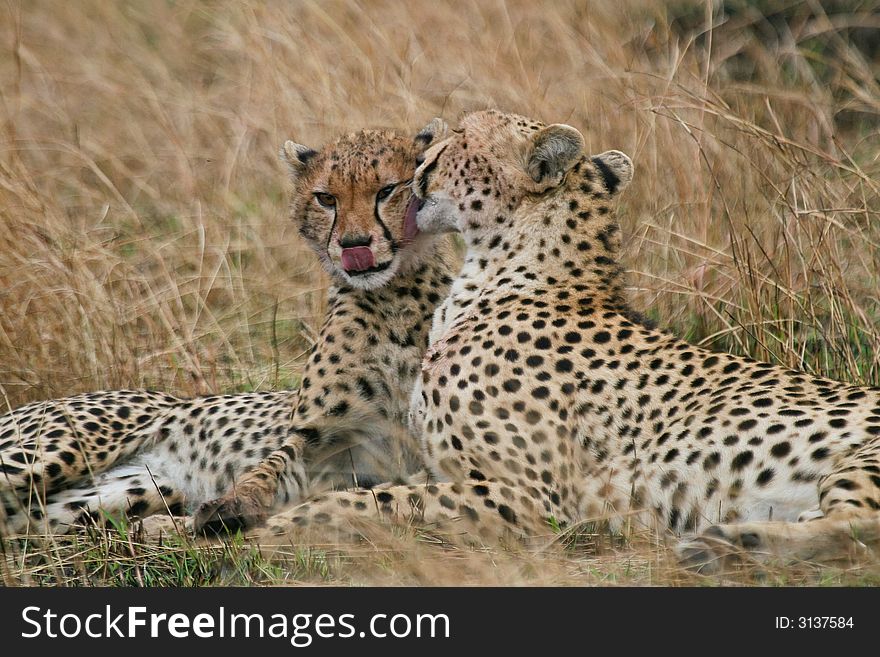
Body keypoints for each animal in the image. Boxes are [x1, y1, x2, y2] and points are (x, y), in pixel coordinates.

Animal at [0, 120, 454, 536]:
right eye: (326, 198)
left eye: (387, 190)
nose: (353, 244)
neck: (391, 298)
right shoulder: (314, 438)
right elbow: (271, 467)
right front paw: (232, 504)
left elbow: (387, 493)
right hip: (49, 454)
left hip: (113, 496)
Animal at [248, 110, 880, 572]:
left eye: (457, 139)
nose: (420, 155)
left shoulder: (535, 497)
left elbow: (376, 500)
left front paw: (274, 529)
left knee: (860, 533)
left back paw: (730, 542)